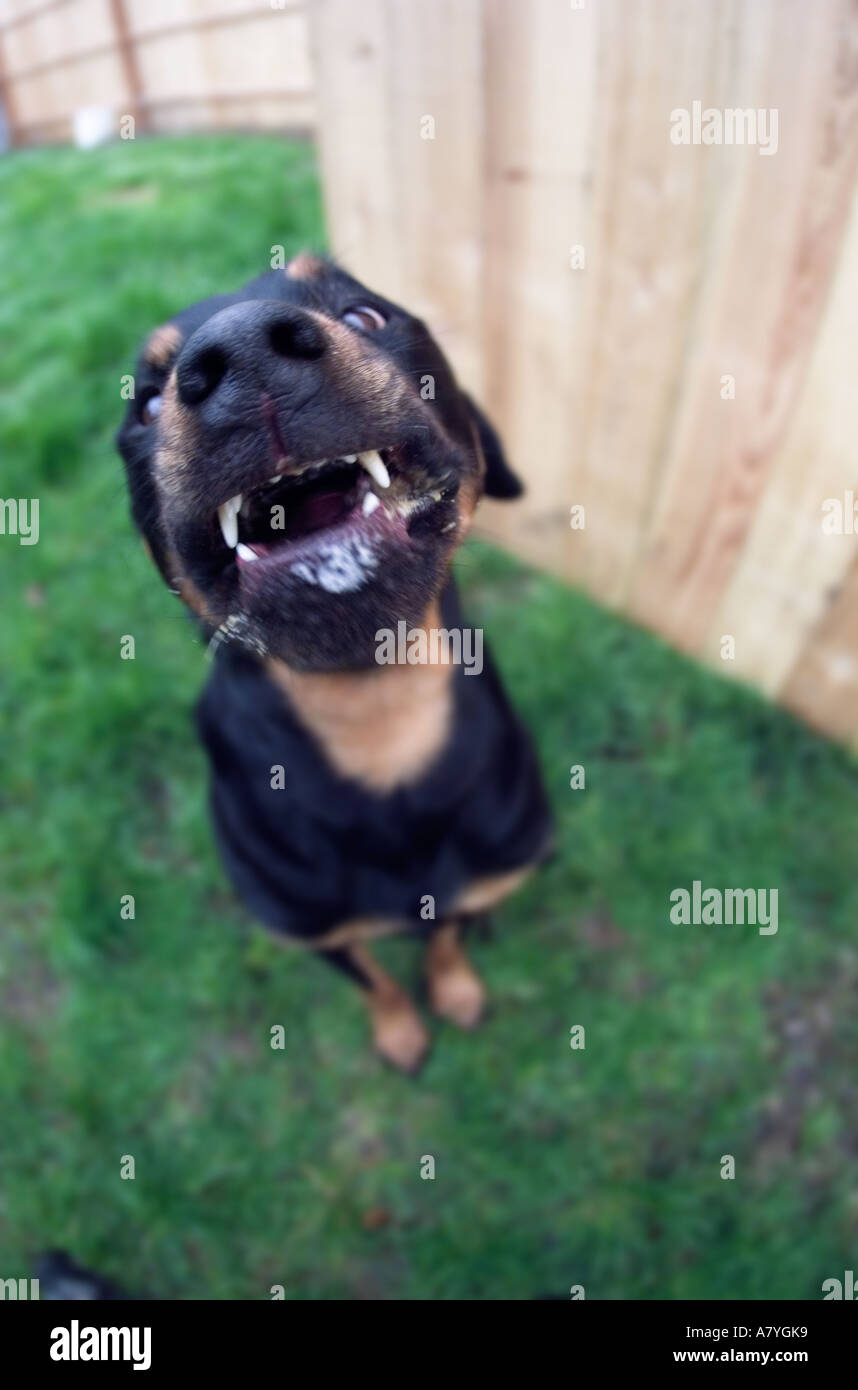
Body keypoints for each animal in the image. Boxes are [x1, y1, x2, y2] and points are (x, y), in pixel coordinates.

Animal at [116, 252, 553, 1073]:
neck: (375, 716)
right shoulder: (312, 929)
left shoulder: (482, 870)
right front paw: (401, 1031)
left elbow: (445, 933)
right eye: (146, 406)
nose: (242, 353)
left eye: (364, 314)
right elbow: (373, 979)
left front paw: (454, 988)